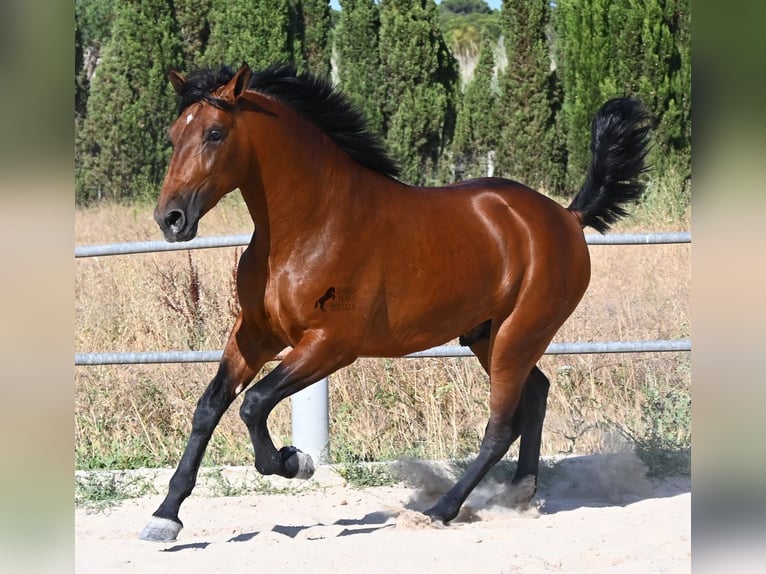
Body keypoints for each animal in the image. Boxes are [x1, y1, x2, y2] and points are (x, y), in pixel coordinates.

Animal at [140, 62, 651, 542]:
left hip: (519, 335)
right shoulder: (256, 332)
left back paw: (443, 509)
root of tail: (567, 216)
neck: (309, 226)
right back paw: (520, 493)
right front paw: (166, 517)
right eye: (173, 134)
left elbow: (254, 403)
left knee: (502, 425)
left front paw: (294, 461)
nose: (170, 218)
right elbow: (209, 407)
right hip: (488, 336)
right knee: (536, 395)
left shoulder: (331, 344)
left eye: (215, 133)